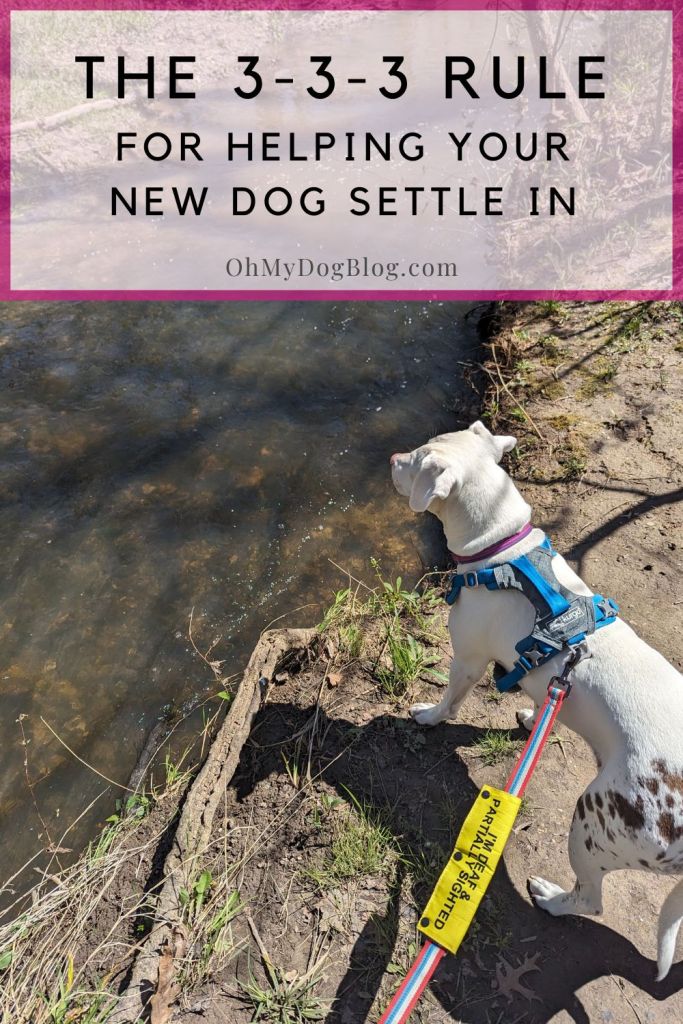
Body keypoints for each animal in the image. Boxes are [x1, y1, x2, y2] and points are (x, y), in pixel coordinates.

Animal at [389, 421, 683, 974]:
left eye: (416, 458)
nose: (393, 456)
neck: (501, 554)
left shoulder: (467, 658)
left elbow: (449, 701)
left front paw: (429, 716)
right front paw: (529, 715)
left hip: (592, 824)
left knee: (591, 899)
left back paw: (551, 898)